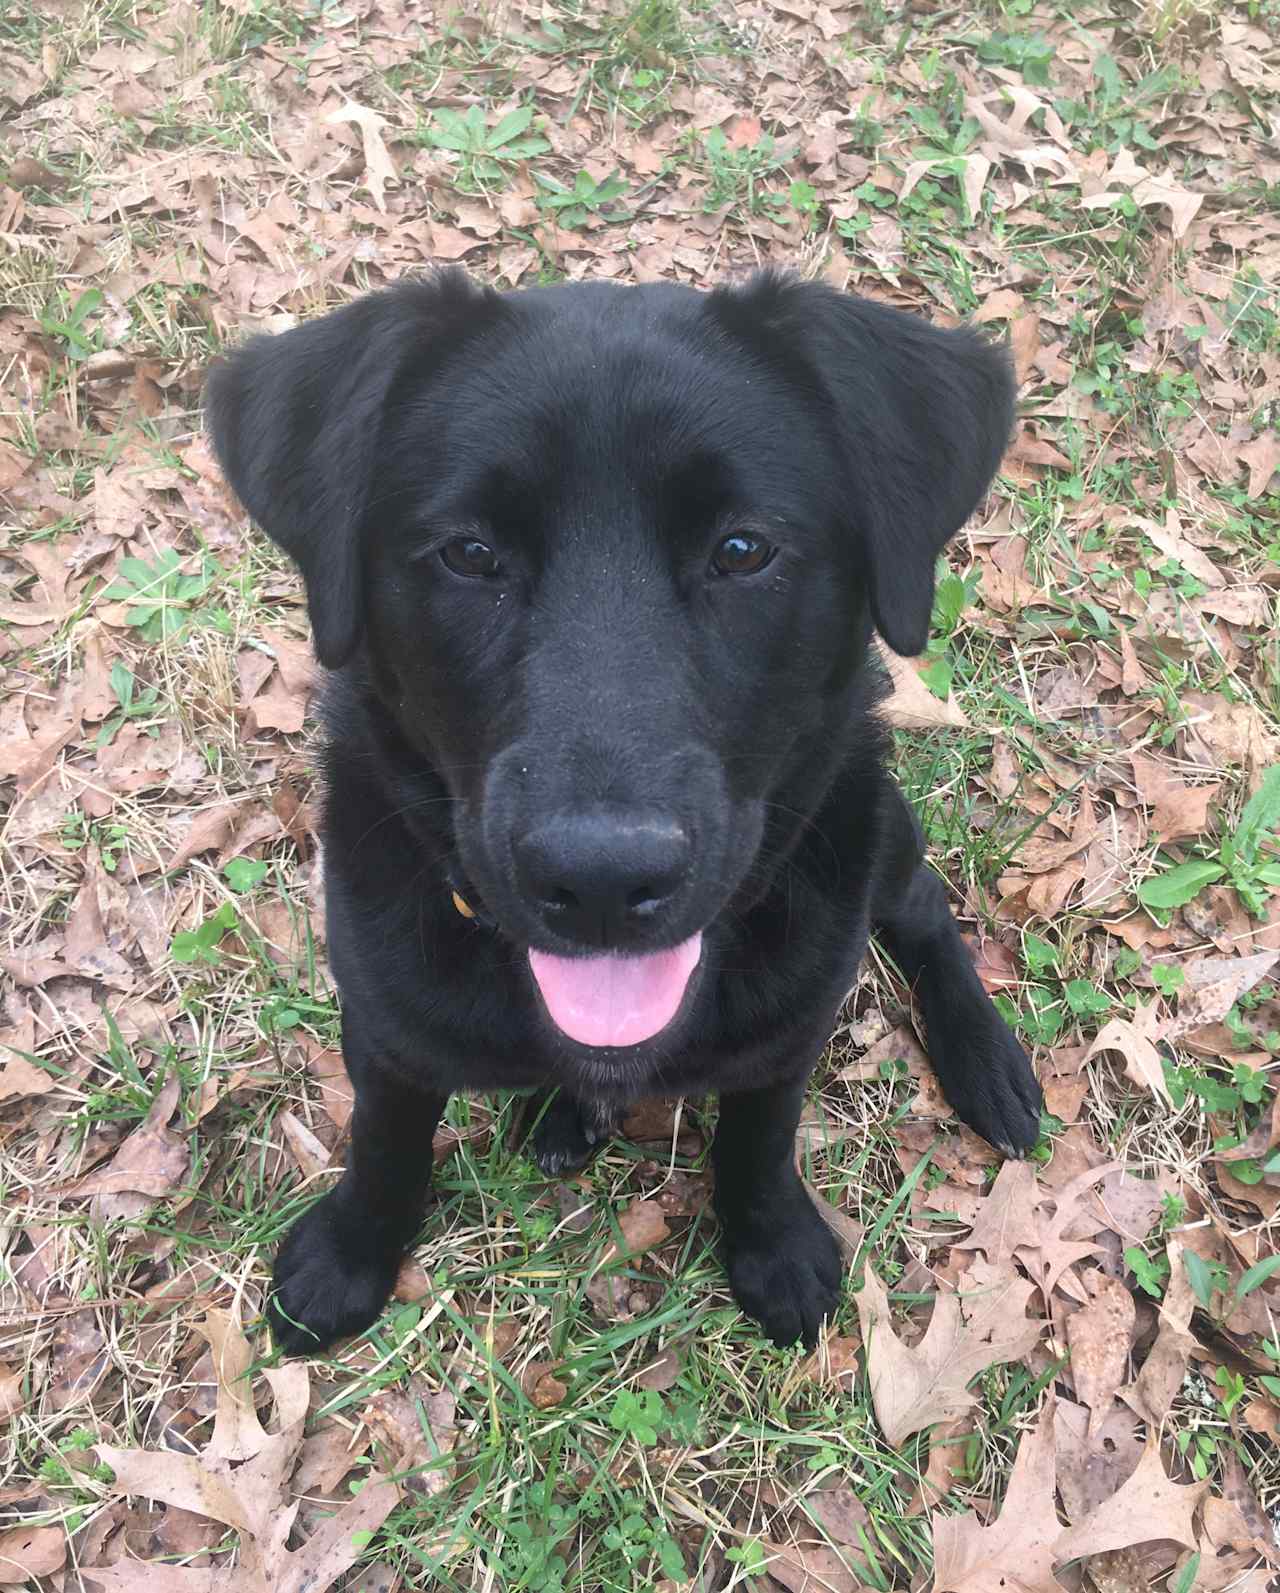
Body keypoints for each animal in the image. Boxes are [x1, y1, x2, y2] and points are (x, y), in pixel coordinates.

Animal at [206, 267, 1038, 1350]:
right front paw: (351, 1253)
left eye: (742, 550)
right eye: (468, 553)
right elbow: (382, 1138)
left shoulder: (788, 1035)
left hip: (877, 829)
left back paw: (986, 1059)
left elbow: (760, 1141)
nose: (600, 878)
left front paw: (772, 1246)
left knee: (925, 908)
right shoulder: (382, 1030)